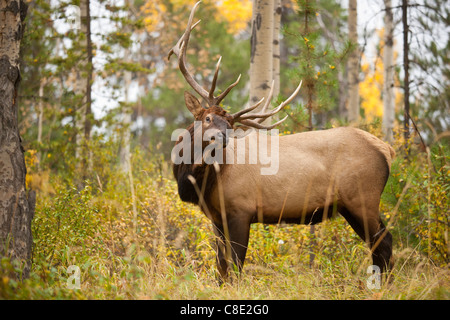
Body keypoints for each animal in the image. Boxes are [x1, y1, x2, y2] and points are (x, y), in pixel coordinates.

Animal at [169, 3, 394, 282]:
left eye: (230, 125)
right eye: (207, 117)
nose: (222, 138)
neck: (203, 183)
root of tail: (387, 149)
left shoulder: (241, 209)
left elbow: (236, 265)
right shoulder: (216, 218)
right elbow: (221, 265)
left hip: (363, 198)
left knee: (384, 242)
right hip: (350, 205)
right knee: (379, 244)